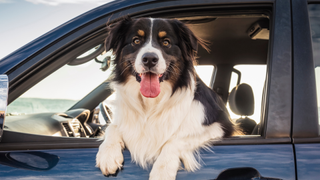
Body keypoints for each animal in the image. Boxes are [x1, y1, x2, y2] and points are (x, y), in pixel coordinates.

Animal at [95, 17, 235, 180]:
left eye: (166, 42)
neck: (151, 104)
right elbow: (112, 127)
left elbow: (175, 140)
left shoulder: (220, 127)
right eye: (136, 40)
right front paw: (108, 155)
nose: (149, 59)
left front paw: (162, 171)